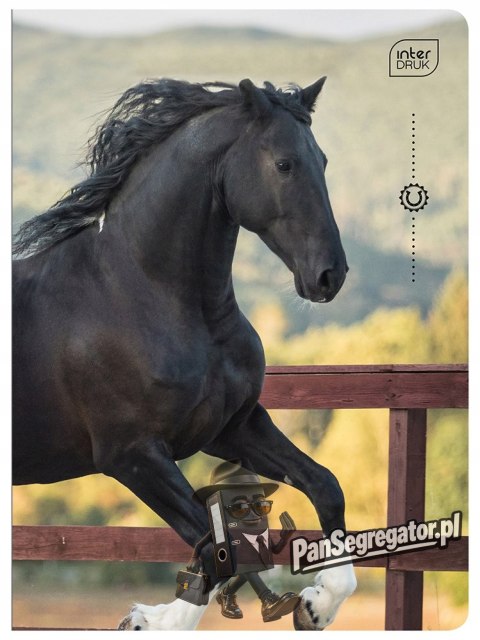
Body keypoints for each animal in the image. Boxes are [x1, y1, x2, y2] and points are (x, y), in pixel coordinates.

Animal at [12, 77, 356, 630]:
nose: (330, 275)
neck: (139, 292)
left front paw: (316, 604)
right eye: (284, 164)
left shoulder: (231, 428)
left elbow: (325, 486)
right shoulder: (133, 456)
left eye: (321, 160)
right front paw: (145, 620)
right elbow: (215, 547)